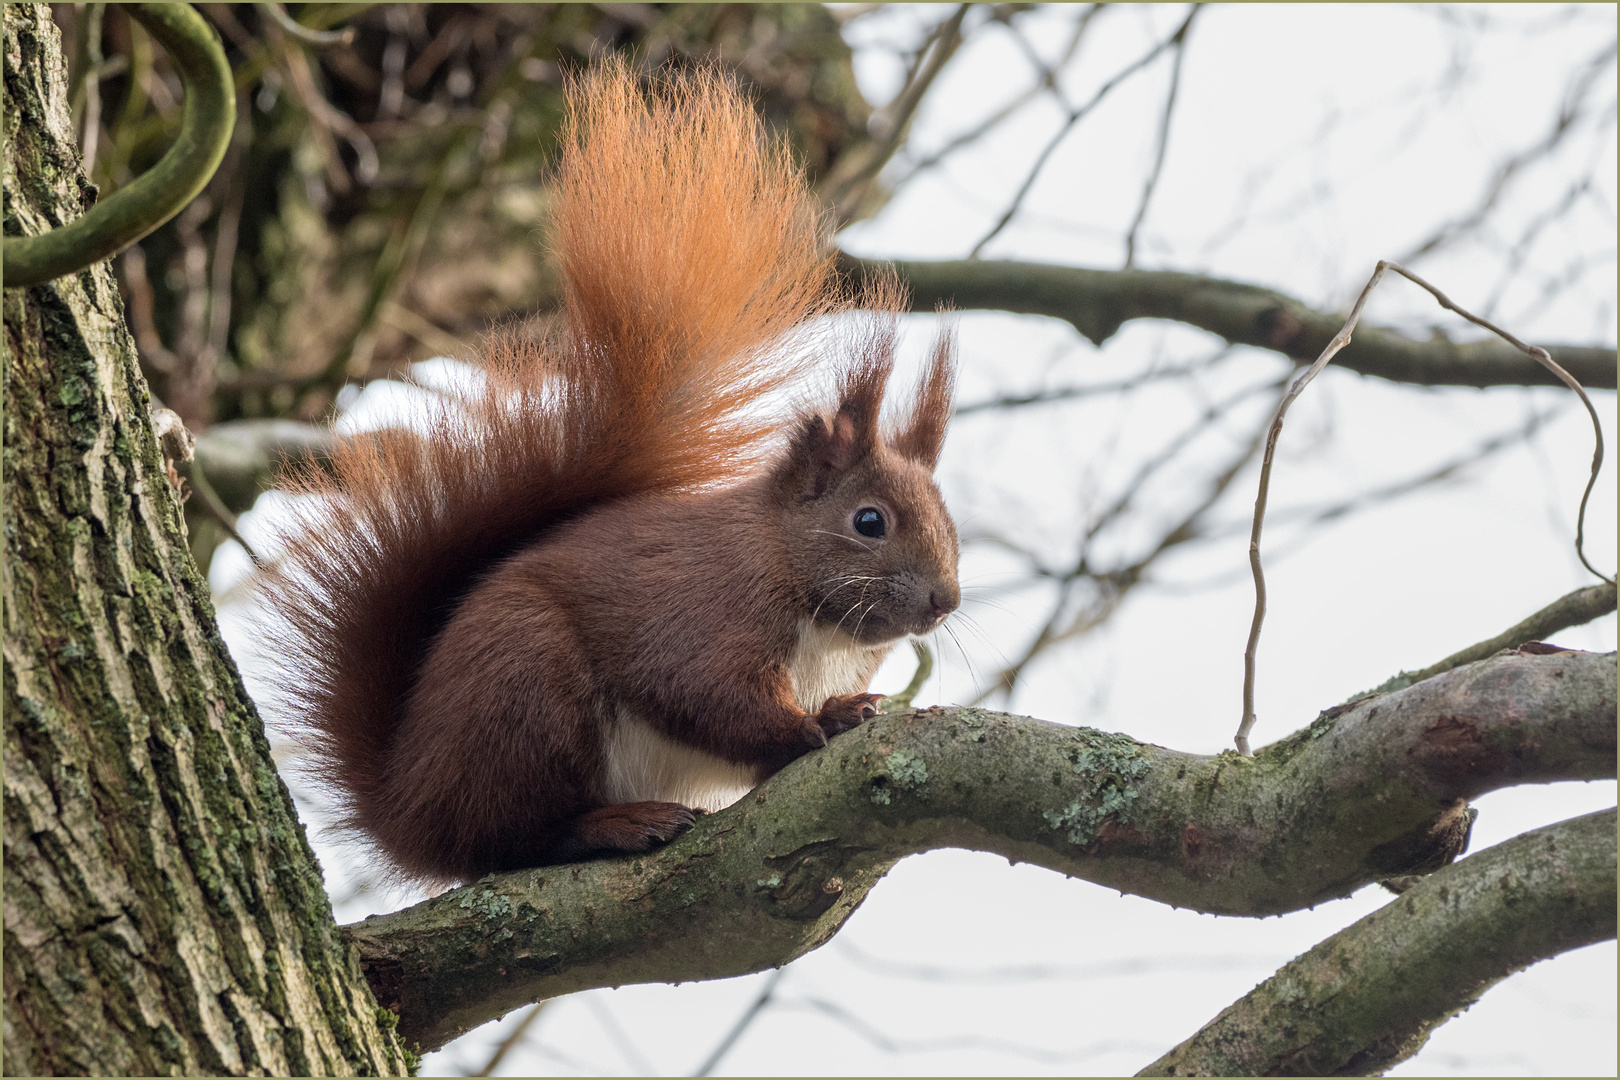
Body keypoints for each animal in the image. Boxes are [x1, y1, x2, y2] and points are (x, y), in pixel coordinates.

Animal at [259, 65, 952, 887]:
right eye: (868, 521)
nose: (945, 601)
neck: (811, 605)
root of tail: (408, 807)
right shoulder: (701, 611)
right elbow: (701, 693)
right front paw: (805, 727)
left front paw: (841, 711)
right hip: (527, 695)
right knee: (511, 840)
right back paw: (615, 824)